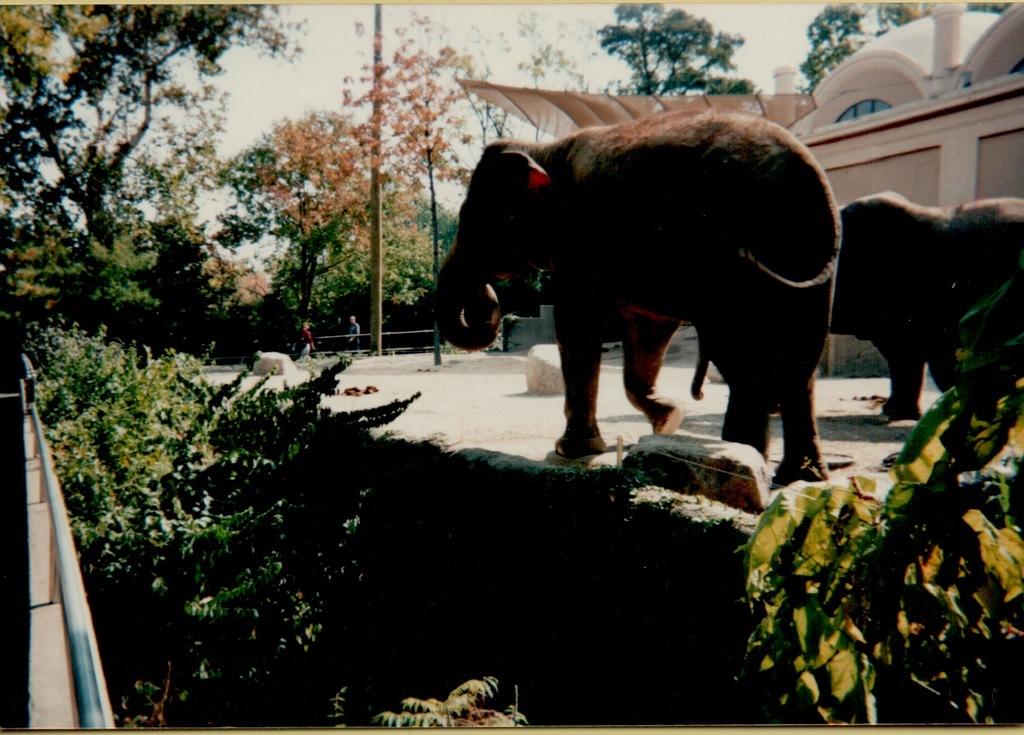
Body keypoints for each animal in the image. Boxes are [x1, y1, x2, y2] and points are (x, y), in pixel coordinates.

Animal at [440, 109, 839, 487]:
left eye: (470, 218)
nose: (488, 299)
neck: (543, 151)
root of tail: (807, 171)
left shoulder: (580, 240)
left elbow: (576, 323)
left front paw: (570, 452)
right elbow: (648, 331)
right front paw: (669, 419)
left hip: (738, 256)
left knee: (743, 350)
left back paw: (748, 457)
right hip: (808, 254)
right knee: (801, 360)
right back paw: (800, 475)